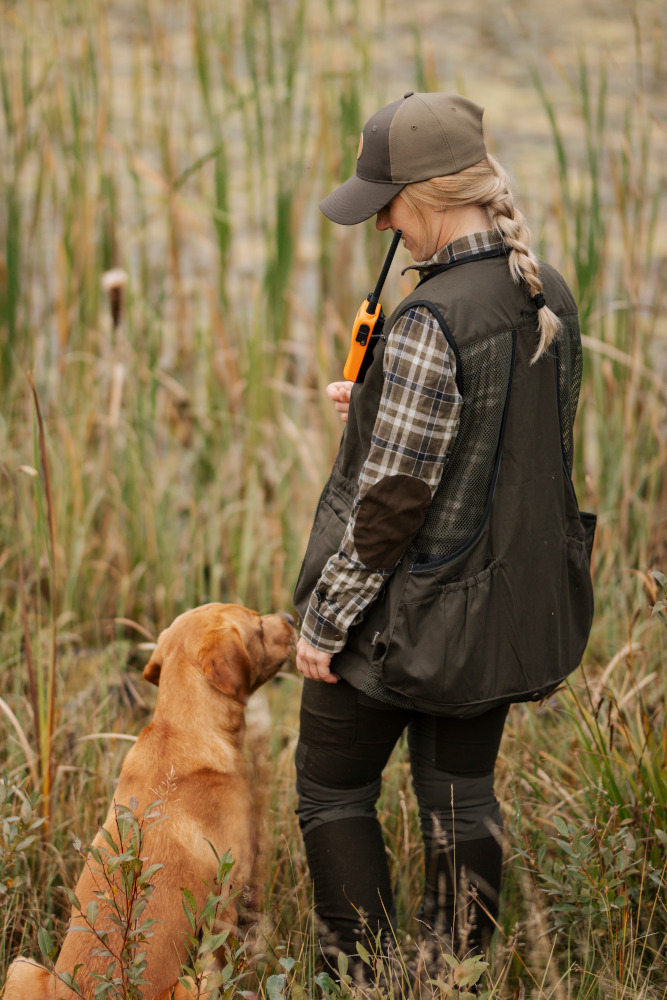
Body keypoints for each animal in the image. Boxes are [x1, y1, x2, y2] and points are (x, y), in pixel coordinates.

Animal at [5, 600, 296, 1000]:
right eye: (259, 626)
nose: (292, 618)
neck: (180, 728)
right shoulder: (226, 903)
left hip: (20, 966)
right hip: (196, 979)